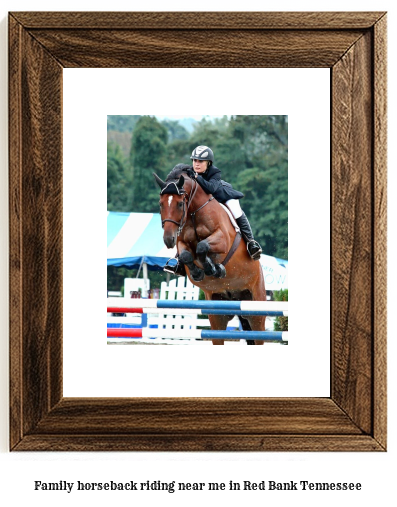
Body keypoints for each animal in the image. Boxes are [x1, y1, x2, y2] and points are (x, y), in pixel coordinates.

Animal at [153, 166, 264, 346]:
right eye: (161, 204)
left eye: (180, 203)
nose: (168, 240)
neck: (193, 212)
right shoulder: (182, 242)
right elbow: (186, 255)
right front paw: (199, 272)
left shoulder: (222, 239)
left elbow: (202, 247)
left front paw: (215, 269)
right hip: (218, 313)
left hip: (256, 308)